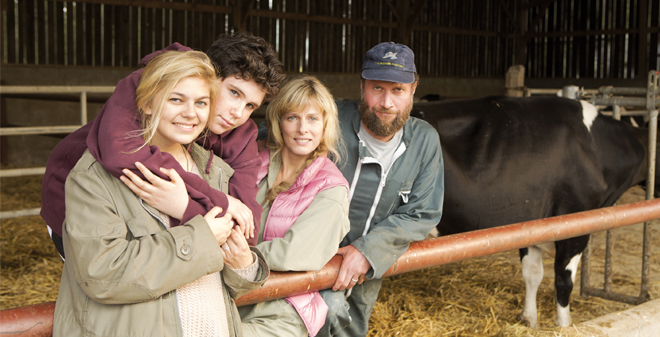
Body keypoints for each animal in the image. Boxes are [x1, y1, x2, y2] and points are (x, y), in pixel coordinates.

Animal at [416, 96, 656, 326]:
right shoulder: (575, 225)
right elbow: (563, 280)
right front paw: (564, 325)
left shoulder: (530, 223)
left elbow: (532, 274)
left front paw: (529, 319)